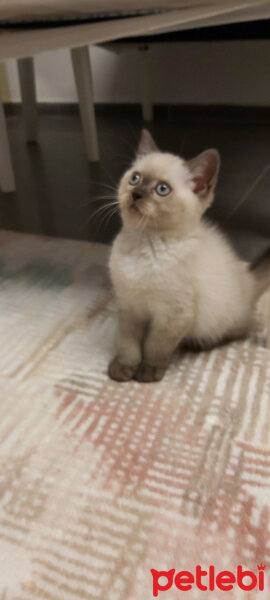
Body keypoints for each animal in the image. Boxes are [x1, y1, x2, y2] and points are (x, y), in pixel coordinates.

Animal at [108, 130, 256, 384]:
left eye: (162, 189)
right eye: (135, 178)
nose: (136, 194)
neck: (144, 244)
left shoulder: (173, 316)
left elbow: (155, 346)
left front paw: (148, 371)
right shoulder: (129, 307)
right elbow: (128, 343)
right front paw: (124, 368)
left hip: (219, 318)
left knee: (234, 332)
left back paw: (199, 344)